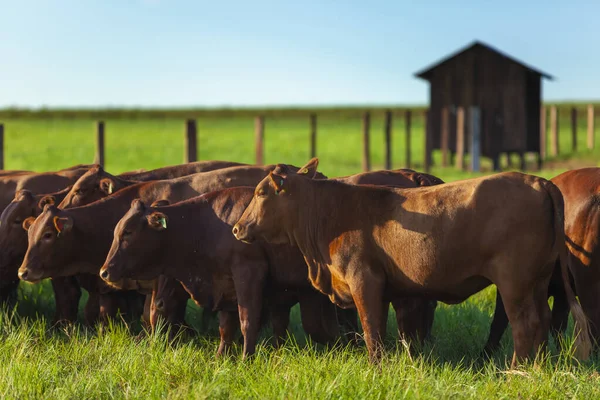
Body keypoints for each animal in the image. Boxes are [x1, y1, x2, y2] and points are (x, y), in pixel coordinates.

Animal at [232, 159, 592, 366]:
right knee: (542, 322)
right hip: (537, 282)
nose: (237, 228)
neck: (329, 215)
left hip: (514, 283)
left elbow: (371, 330)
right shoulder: (387, 289)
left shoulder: (364, 280)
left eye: (262, 193)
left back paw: (517, 371)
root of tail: (539, 181)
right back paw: (538, 367)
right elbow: (385, 331)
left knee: (524, 325)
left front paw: (374, 368)